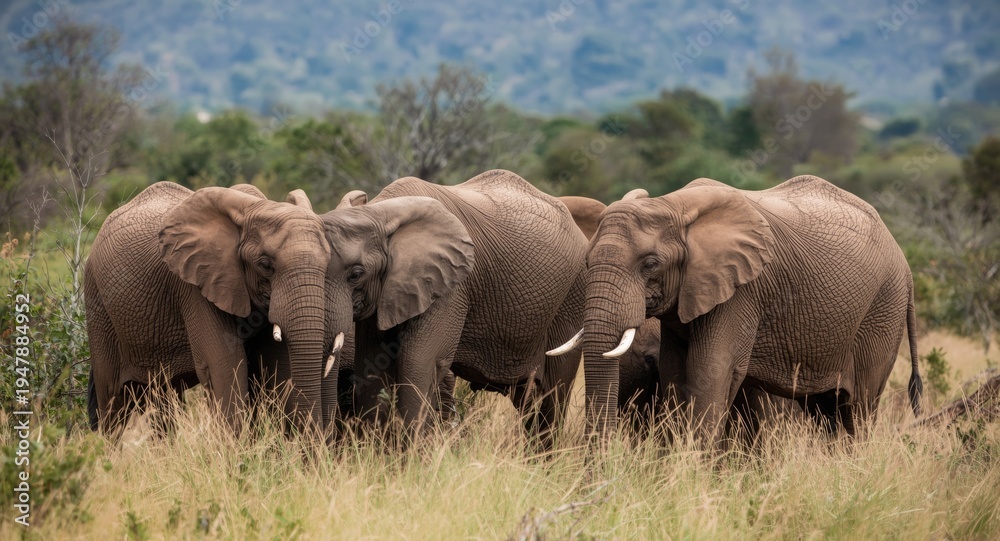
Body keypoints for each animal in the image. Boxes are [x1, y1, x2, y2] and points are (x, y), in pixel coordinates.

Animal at [85, 182, 341, 439]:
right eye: (265, 265)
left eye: (327, 264)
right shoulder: (194, 287)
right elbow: (224, 364)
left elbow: (277, 367)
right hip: (97, 303)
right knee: (113, 399)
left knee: (163, 395)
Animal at [320, 170, 588, 438]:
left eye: (356, 274)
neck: (380, 212)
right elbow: (373, 367)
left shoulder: (452, 286)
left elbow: (418, 362)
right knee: (529, 401)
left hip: (572, 294)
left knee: (551, 397)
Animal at [552, 175, 923, 441]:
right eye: (587, 262)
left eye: (650, 264)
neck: (674, 205)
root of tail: (906, 267)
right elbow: (676, 375)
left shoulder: (742, 293)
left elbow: (709, 373)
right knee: (826, 411)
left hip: (881, 312)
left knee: (856, 409)